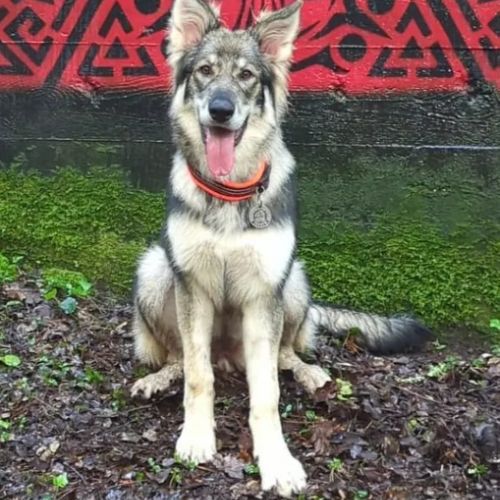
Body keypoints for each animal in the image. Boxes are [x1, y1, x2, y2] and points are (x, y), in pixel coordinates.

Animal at [130, 0, 432, 496]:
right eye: (205, 71)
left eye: (247, 75)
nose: (220, 110)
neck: (230, 192)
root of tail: (230, 358)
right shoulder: (193, 286)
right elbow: (197, 374)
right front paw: (196, 436)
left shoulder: (262, 295)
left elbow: (267, 392)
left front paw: (276, 460)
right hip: (156, 270)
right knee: (180, 356)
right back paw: (160, 377)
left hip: (292, 282)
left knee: (287, 352)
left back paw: (310, 373)